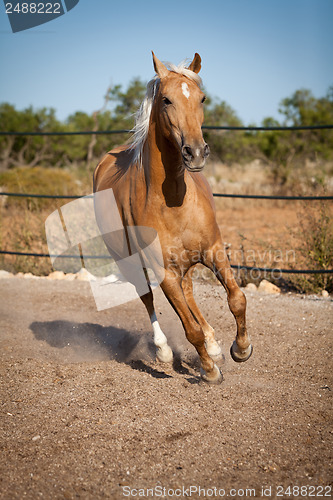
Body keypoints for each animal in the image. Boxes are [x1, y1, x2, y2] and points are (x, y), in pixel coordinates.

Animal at [93, 52, 252, 382]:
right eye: (166, 100)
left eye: (202, 98)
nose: (196, 152)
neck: (174, 200)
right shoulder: (164, 271)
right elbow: (188, 328)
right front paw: (209, 370)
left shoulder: (214, 250)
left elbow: (236, 299)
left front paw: (240, 349)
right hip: (128, 262)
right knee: (147, 298)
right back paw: (164, 350)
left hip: (186, 263)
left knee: (189, 293)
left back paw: (214, 345)